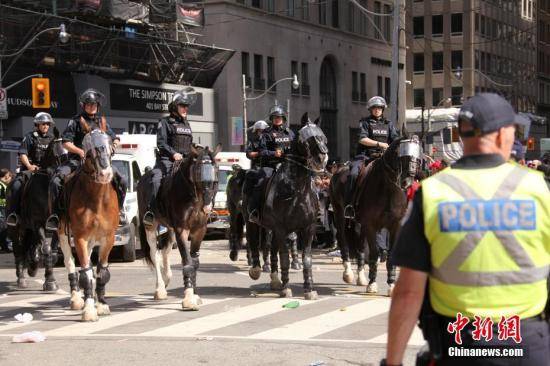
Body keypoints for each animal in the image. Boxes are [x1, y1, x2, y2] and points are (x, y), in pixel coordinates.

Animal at [7, 127, 65, 290]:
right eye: (58, 154)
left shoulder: (54, 226)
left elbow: (52, 252)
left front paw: (49, 279)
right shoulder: (37, 223)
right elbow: (46, 249)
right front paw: (50, 281)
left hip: (28, 228)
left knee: (31, 247)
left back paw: (32, 266)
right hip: (15, 228)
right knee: (18, 249)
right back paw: (21, 278)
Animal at [57, 129, 119, 320]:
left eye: (110, 150)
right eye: (90, 152)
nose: (105, 174)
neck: (96, 199)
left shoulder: (108, 238)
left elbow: (101, 271)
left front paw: (102, 303)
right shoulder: (80, 238)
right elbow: (85, 272)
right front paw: (90, 309)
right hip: (63, 233)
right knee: (70, 262)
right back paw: (77, 298)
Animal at [138, 144, 222, 310]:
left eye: (216, 168)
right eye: (198, 170)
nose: (207, 206)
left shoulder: (199, 230)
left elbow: (195, 263)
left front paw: (194, 294)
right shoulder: (182, 230)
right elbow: (187, 262)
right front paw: (189, 299)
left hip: (169, 229)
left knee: (165, 251)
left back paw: (166, 278)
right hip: (151, 227)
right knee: (154, 254)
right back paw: (160, 289)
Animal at [248, 116, 330, 298]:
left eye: (323, 136)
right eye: (306, 139)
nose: (322, 159)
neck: (297, 190)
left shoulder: (308, 228)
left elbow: (306, 258)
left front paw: (309, 289)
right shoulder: (281, 228)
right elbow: (284, 257)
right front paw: (286, 288)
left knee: (272, 250)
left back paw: (274, 280)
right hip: (252, 221)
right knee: (254, 243)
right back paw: (256, 270)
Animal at [332, 136, 422, 296]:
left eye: (417, 157)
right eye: (401, 155)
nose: (407, 182)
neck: (388, 189)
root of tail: (339, 169)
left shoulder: (395, 226)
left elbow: (390, 255)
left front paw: (391, 285)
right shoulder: (371, 226)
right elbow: (374, 254)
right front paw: (372, 284)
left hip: (359, 224)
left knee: (360, 246)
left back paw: (361, 277)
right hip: (339, 215)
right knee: (343, 241)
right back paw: (348, 273)